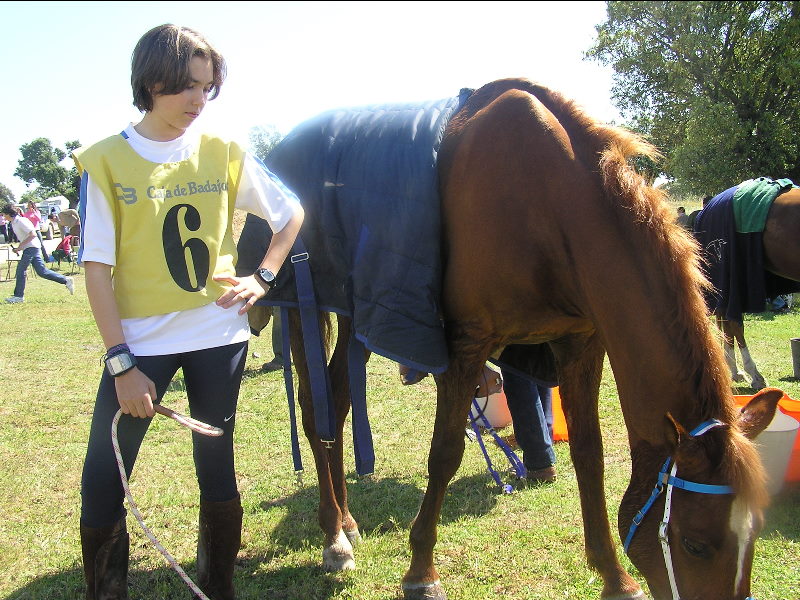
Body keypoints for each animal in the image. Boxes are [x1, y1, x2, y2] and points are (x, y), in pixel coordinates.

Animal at [276, 79, 780, 600]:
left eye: (755, 532)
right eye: (696, 543)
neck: (547, 204)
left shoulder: (580, 344)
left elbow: (589, 454)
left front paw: (614, 575)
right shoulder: (466, 346)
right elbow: (445, 455)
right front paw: (421, 572)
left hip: (360, 316)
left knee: (337, 404)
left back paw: (348, 522)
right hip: (300, 307)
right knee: (315, 413)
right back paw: (333, 537)